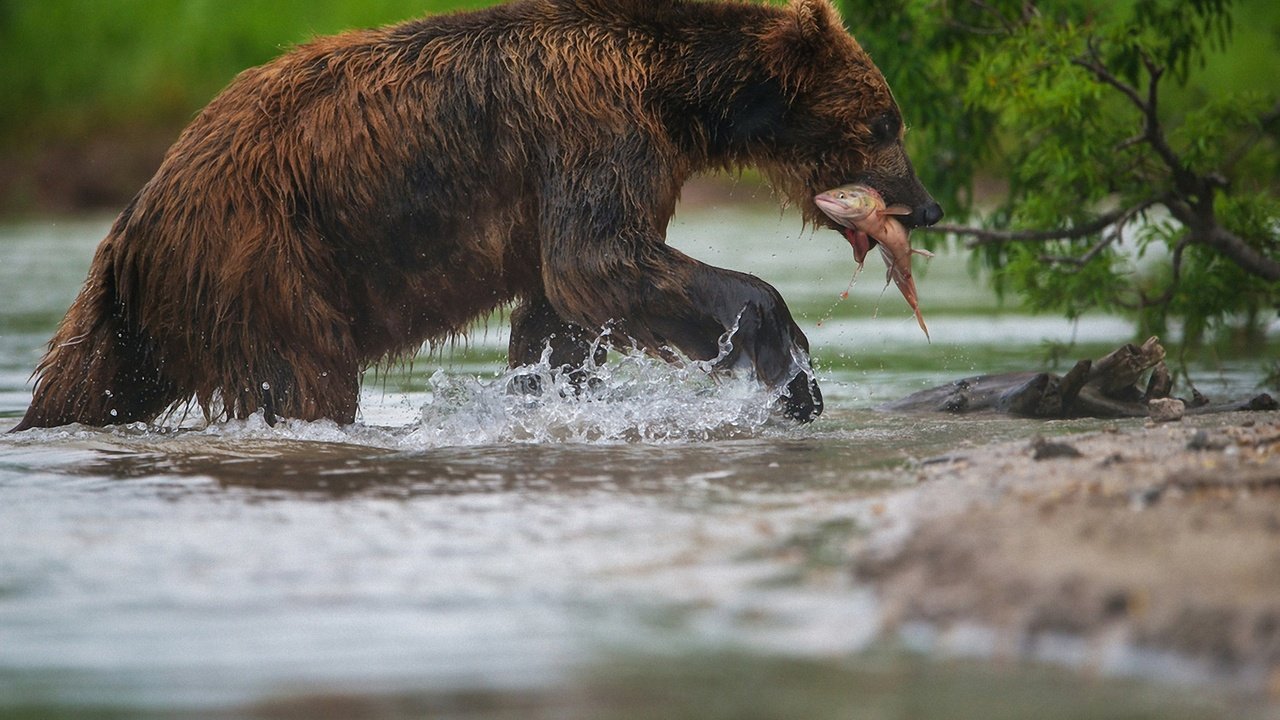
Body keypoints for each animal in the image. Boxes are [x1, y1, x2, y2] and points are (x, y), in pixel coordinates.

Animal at [10, 0, 942, 430]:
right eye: (886, 121)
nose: (927, 206)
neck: (679, 96)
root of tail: (134, 220)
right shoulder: (590, 127)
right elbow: (599, 258)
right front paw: (791, 371)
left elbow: (562, 311)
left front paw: (548, 396)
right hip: (266, 255)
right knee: (306, 373)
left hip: (132, 318)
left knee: (86, 382)